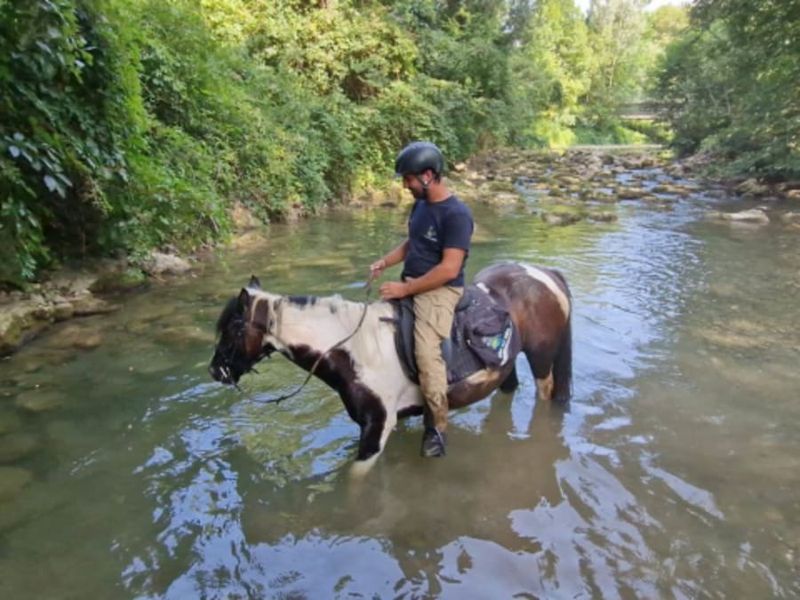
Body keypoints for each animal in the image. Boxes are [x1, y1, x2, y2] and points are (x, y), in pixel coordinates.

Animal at [209, 262, 572, 476]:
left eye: (235, 328)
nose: (215, 371)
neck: (355, 351)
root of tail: (545, 274)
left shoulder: (376, 428)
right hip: (504, 366)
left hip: (541, 360)